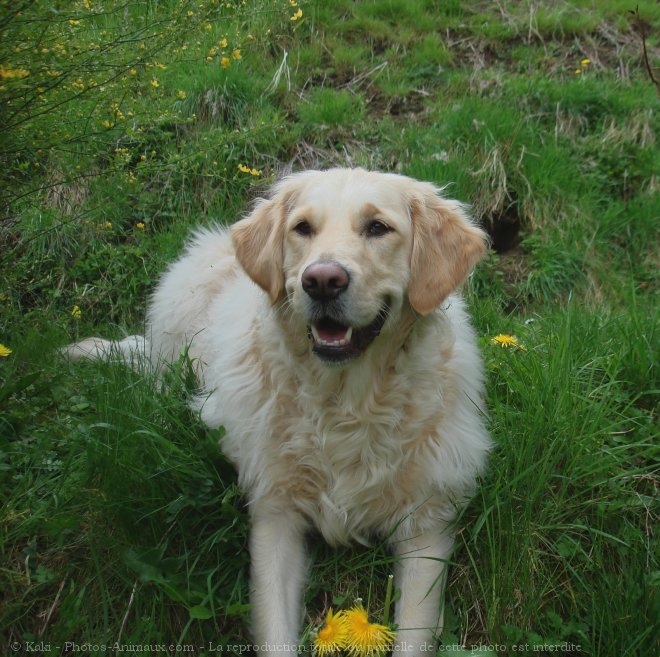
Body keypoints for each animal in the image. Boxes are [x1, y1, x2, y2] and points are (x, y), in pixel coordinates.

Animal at [65, 168, 490, 652]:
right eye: (302, 228)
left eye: (378, 227)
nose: (321, 280)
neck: (347, 402)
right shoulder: (275, 516)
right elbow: (274, 631)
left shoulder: (427, 522)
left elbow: (414, 632)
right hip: (172, 352)